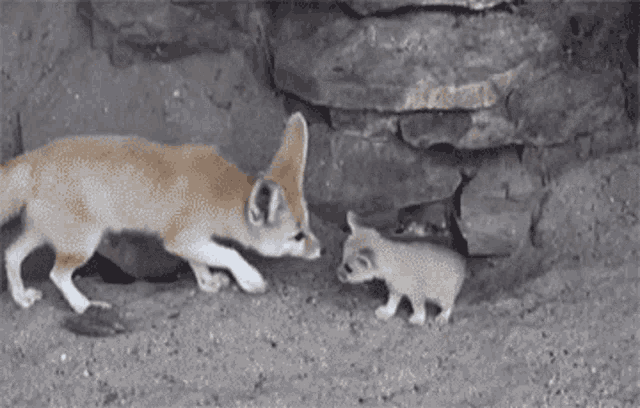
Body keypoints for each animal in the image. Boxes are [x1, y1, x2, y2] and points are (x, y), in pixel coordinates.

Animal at [1, 112, 323, 314]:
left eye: (308, 227)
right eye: (297, 236)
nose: (320, 250)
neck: (221, 191)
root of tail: (37, 157)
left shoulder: (190, 241)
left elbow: (200, 261)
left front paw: (207, 282)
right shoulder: (180, 239)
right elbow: (229, 253)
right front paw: (250, 279)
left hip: (44, 233)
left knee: (11, 254)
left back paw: (21, 297)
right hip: (82, 244)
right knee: (57, 274)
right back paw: (83, 306)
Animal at [337, 211, 465, 326]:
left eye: (349, 269)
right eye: (342, 258)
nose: (338, 274)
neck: (393, 263)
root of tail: (462, 260)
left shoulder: (417, 293)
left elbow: (418, 308)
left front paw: (418, 319)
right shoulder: (395, 289)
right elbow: (392, 303)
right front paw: (387, 312)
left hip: (443, 295)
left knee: (450, 305)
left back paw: (442, 317)